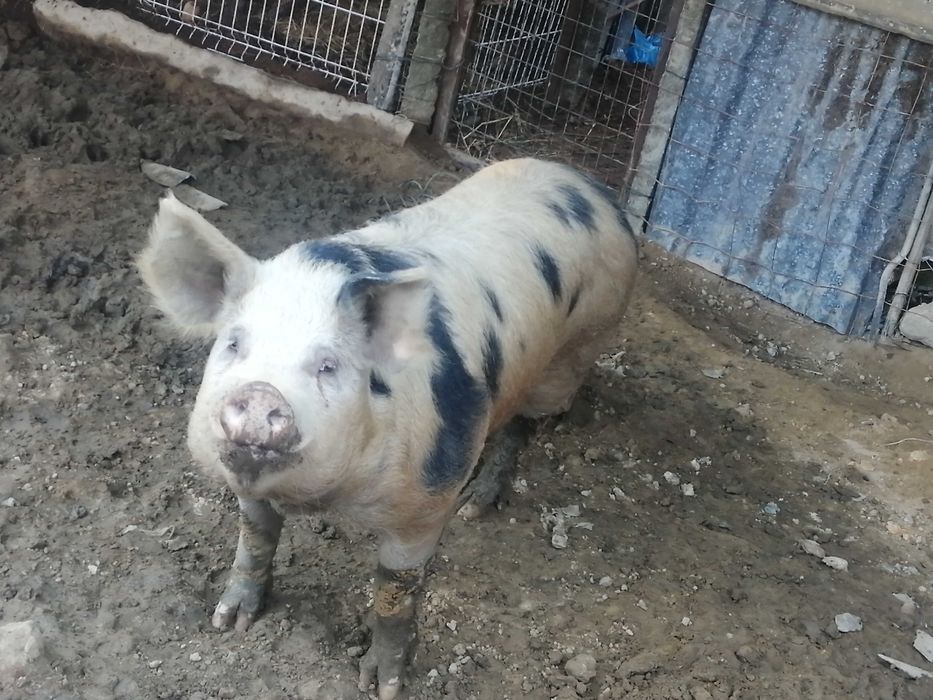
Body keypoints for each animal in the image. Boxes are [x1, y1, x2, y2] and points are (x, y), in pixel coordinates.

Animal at [138, 158, 637, 698]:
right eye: (233, 344)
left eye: (328, 365)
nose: (261, 394)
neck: (327, 499)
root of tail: (594, 187)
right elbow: (255, 537)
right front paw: (229, 622)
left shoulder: (428, 494)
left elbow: (395, 593)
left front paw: (382, 684)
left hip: (575, 351)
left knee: (523, 427)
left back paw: (476, 505)